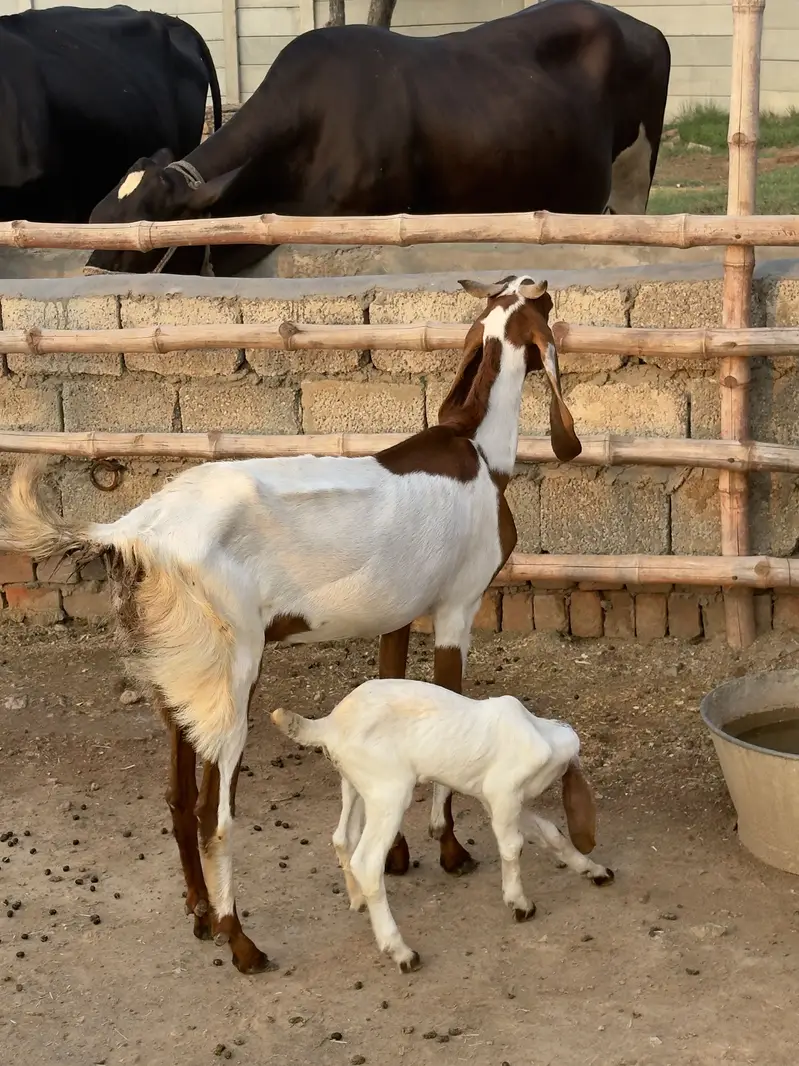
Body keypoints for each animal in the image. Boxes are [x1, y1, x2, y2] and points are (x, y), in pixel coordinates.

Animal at [272, 678, 613, 972]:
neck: (539, 734)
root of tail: (329, 725)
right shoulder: (502, 793)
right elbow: (512, 846)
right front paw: (519, 903)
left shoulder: (496, 801)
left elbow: (550, 833)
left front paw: (594, 870)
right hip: (389, 792)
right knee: (367, 861)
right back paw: (401, 951)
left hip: (354, 784)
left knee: (343, 837)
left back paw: (358, 901)